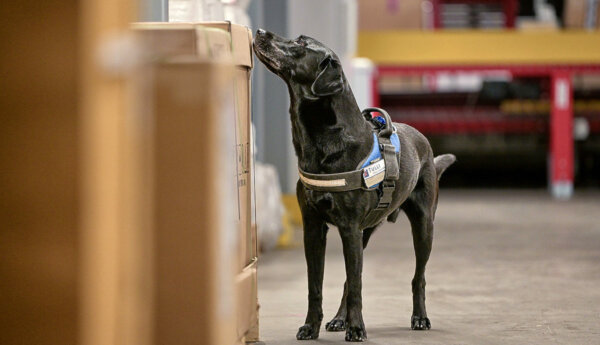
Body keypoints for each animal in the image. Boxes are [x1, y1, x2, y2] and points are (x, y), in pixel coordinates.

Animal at [253, 30, 454, 342]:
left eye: (301, 43)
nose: (261, 32)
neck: (323, 142)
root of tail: (423, 141)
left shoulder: (348, 227)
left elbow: (358, 285)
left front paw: (358, 328)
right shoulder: (314, 228)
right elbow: (316, 285)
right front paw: (311, 327)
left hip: (423, 226)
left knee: (417, 276)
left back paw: (419, 317)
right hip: (365, 231)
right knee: (350, 279)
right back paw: (339, 319)